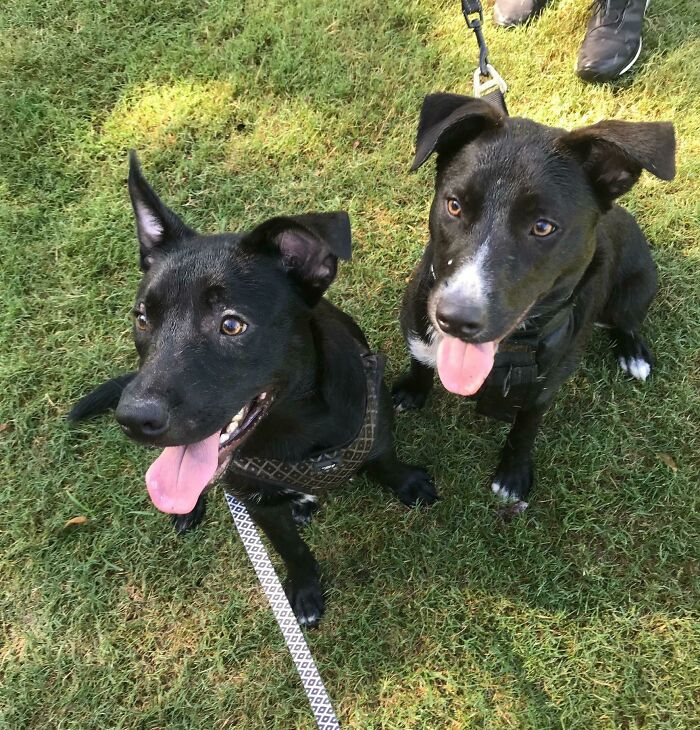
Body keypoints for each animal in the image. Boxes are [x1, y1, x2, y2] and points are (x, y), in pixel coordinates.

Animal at [68, 154, 434, 624]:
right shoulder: (258, 506)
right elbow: (292, 550)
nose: (133, 418)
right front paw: (305, 590)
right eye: (142, 318)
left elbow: (385, 461)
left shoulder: (376, 424)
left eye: (232, 324)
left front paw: (408, 484)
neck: (296, 432)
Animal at [394, 94, 672, 510]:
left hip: (635, 289)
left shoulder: (544, 389)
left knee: (628, 323)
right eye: (454, 205)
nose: (455, 319)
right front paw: (410, 391)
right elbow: (420, 364)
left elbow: (525, 430)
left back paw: (633, 354)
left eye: (543, 227)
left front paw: (513, 475)